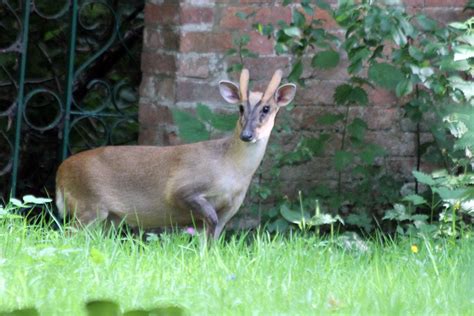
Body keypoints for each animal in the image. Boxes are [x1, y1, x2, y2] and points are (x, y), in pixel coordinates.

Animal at [55, 68, 296, 237]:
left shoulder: (230, 209)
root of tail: (60, 172)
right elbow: (208, 220)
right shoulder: (182, 188)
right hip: (89, 204)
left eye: (267, 108)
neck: (231, 169)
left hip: (108, 218)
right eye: (241, 108)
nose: (247, 135)